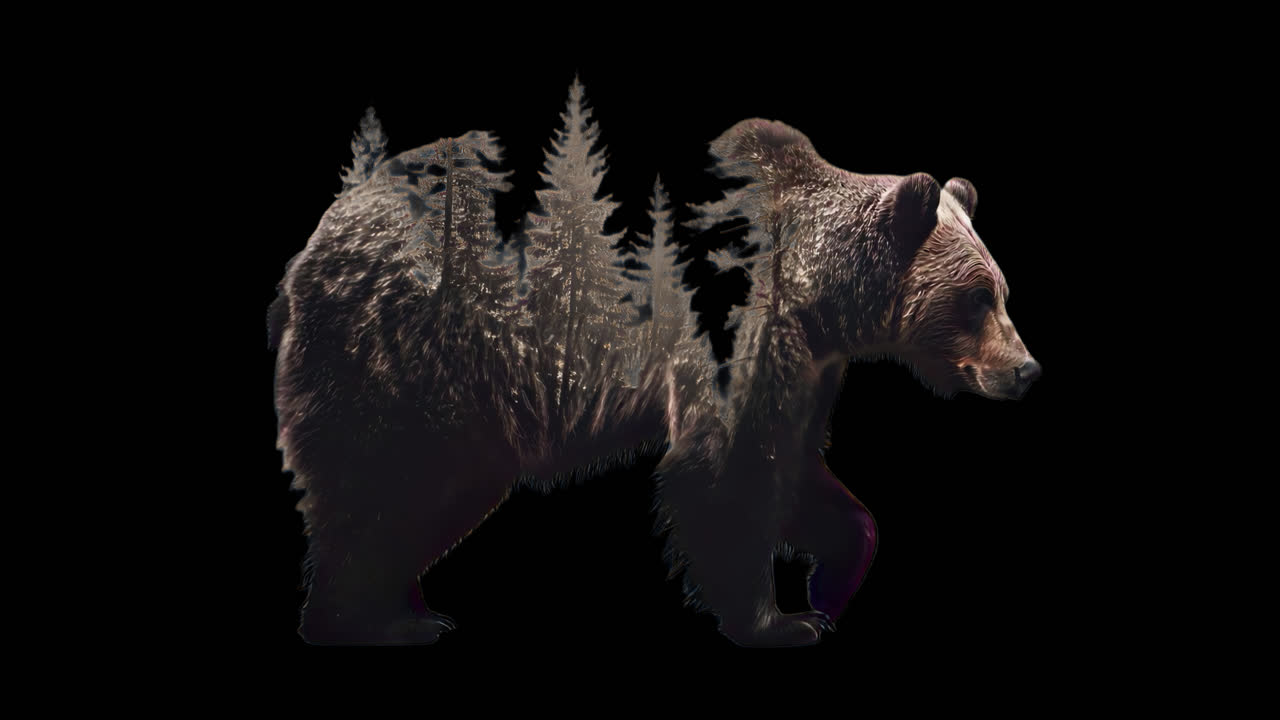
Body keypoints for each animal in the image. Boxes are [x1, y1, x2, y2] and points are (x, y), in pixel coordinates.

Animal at [270, 117, 1040, 647]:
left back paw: (404, 609)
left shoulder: (809, 363)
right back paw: (363, 620)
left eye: (1002, 291)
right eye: (977, 297)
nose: (1026, 370)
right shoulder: (733, 329)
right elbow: (729, 471)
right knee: (384, 481)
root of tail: (315, 241)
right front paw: (778, 621)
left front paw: (830, 585)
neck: (815, 291)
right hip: (410, 346)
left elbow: (794, 464)